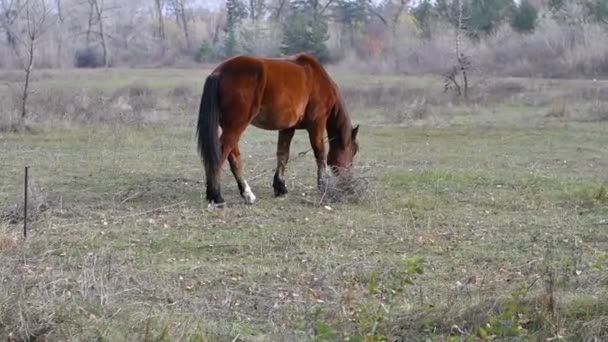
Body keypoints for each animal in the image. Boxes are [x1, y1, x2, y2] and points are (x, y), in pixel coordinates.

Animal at [195, 52, 358, 207]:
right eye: (353, 151)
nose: (348, 183)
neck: (317, 78)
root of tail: (220, 71)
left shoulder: (287, 128)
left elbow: (283, 154)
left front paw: (280, 186)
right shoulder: (317, 123)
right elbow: (320, 154)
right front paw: (323, 184)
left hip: (230, 127)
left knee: (233, 156)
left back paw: (246, 193)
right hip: (236, 126)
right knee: (221, 154)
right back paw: (216, 195)